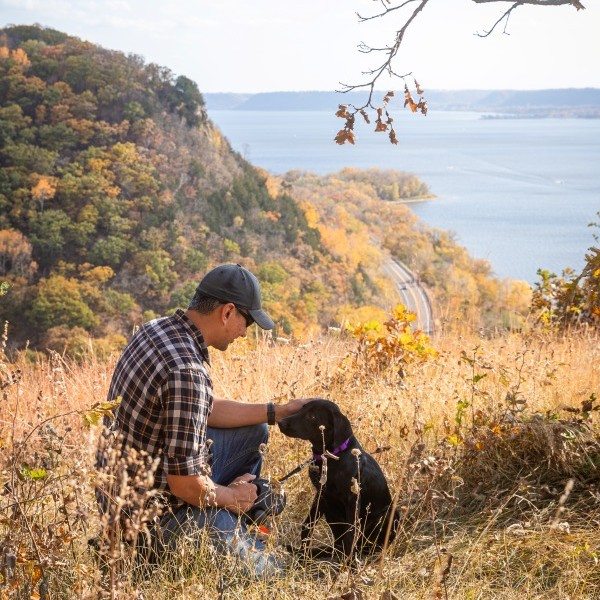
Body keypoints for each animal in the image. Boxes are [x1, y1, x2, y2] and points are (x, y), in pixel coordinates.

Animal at [278, 398, 398, 556]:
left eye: (312, 416)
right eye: (301, 409)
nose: (280, 422)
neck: (330, 457)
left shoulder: (352, 499)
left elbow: (351, 534)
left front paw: (349, 563)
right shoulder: (321, 494)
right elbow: (307, 525)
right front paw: (303, 556)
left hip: (390, 514)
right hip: (331, 511)